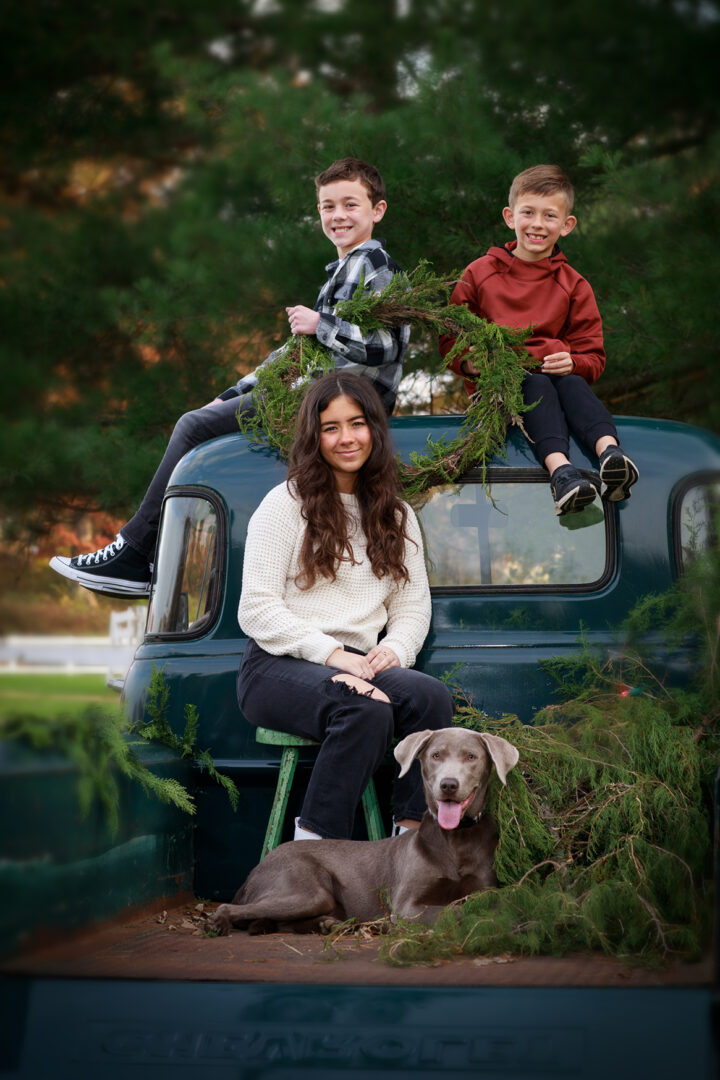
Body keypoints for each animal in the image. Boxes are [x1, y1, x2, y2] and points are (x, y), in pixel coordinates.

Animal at [211, 725, 520, 937]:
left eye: (471, 757)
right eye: (435, 755)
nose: (448, 784)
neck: (455, 839)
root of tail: (258, 867)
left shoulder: (483, 884)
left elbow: (484, 900)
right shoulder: (406, 906)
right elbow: (455, 909)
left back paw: (328, 924)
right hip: (305, 890)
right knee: (232, 909)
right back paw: (219, 922)